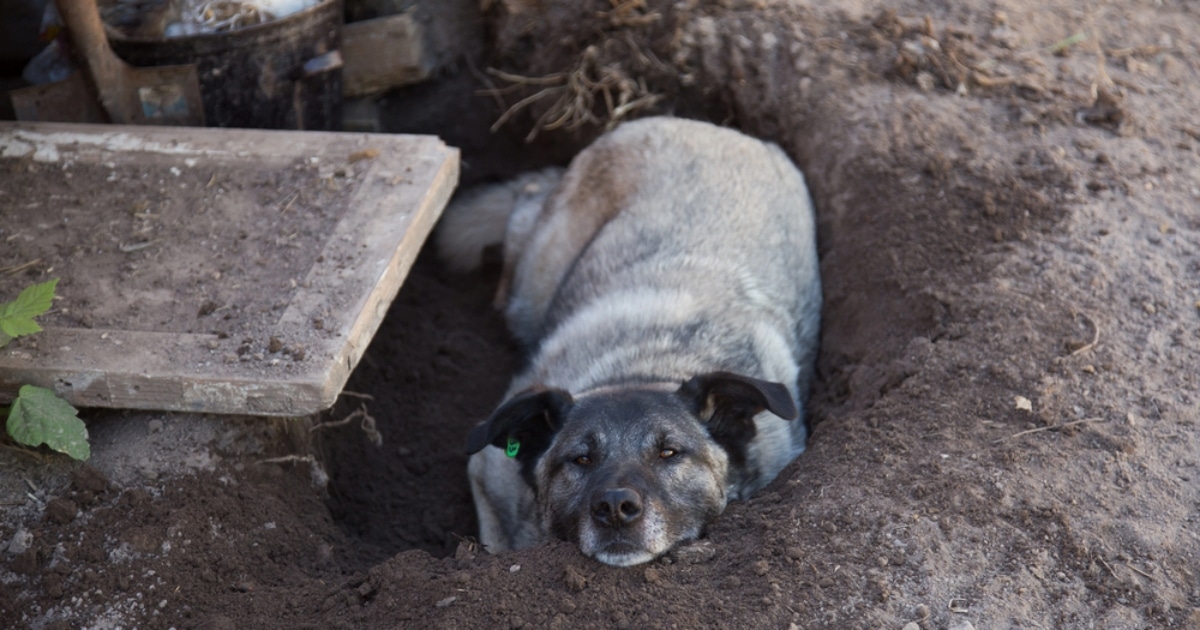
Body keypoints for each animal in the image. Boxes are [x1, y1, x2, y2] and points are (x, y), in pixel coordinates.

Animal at [441, 116, 825, 564]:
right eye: (581, 459)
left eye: (669, 452)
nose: (615, 507)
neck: (648, 368)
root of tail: (710, 127)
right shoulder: (486, 474)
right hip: (537, 282)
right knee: (527, 206)